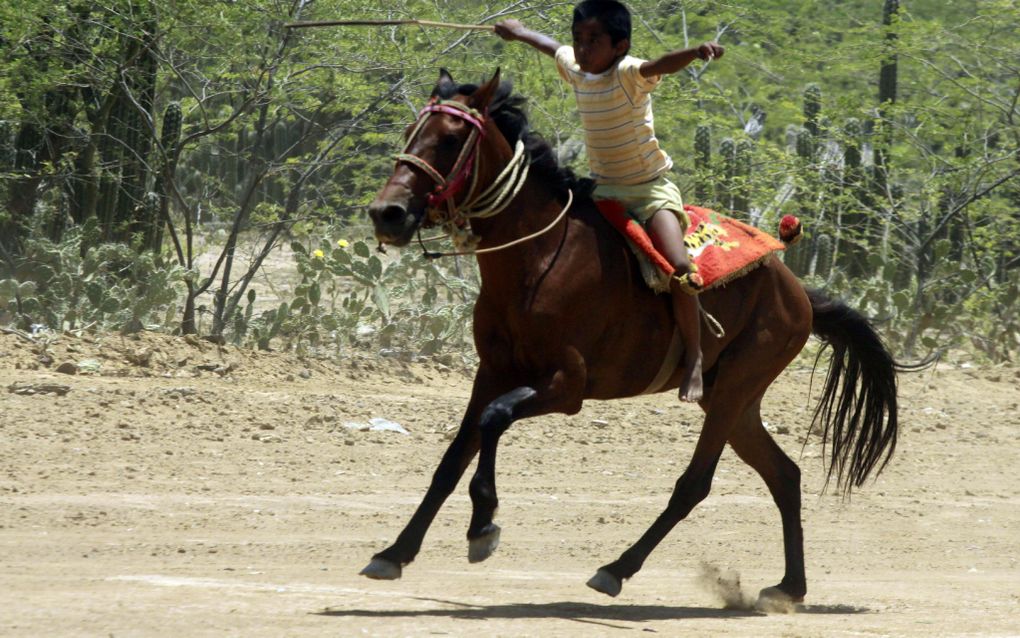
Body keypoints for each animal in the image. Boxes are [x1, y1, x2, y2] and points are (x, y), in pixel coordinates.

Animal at [365, 69, 901, 608]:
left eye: (451, 140)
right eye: (411, 132)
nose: (387, 212)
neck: (540, 258)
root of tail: (798, 293)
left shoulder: (567, 387)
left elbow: (495, 421)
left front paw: (482, 528)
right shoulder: (492, 372)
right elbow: (452, 459)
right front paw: (395, 553)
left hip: (733, 391)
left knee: (695, 485)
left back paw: (617, 569)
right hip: (736, 401)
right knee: (785, 476)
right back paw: (789, 587)